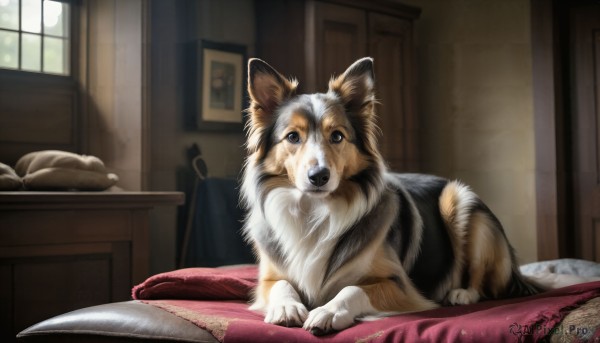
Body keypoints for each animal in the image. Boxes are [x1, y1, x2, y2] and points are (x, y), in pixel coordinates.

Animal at [240, 56, 544, 336]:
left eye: (337, 136)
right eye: (292, 137)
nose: (319, 176)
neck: (316, 210)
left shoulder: (398, 284)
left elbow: (353, 289)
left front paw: (328, 311)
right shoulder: (268, 278)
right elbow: (281, 285)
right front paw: (287, 307)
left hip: (461, 202)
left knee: (485, 281)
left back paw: (461, 294)